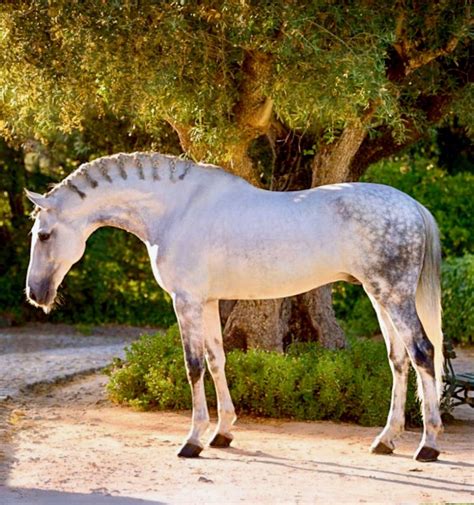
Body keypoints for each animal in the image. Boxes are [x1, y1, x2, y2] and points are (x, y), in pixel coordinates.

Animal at [25, 153, 444, 460]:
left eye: (44, 235)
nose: (35, 293)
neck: (176, 210)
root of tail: (413, 206)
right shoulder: (208, 302)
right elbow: (216, 361)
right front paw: (222, 433)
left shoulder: (186, 301)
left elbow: (193, 366)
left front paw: (193, 440)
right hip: (379, 295)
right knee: (398, 359)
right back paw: (385, 440)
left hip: (394, 295)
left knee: (422, 352)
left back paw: (428, 445)